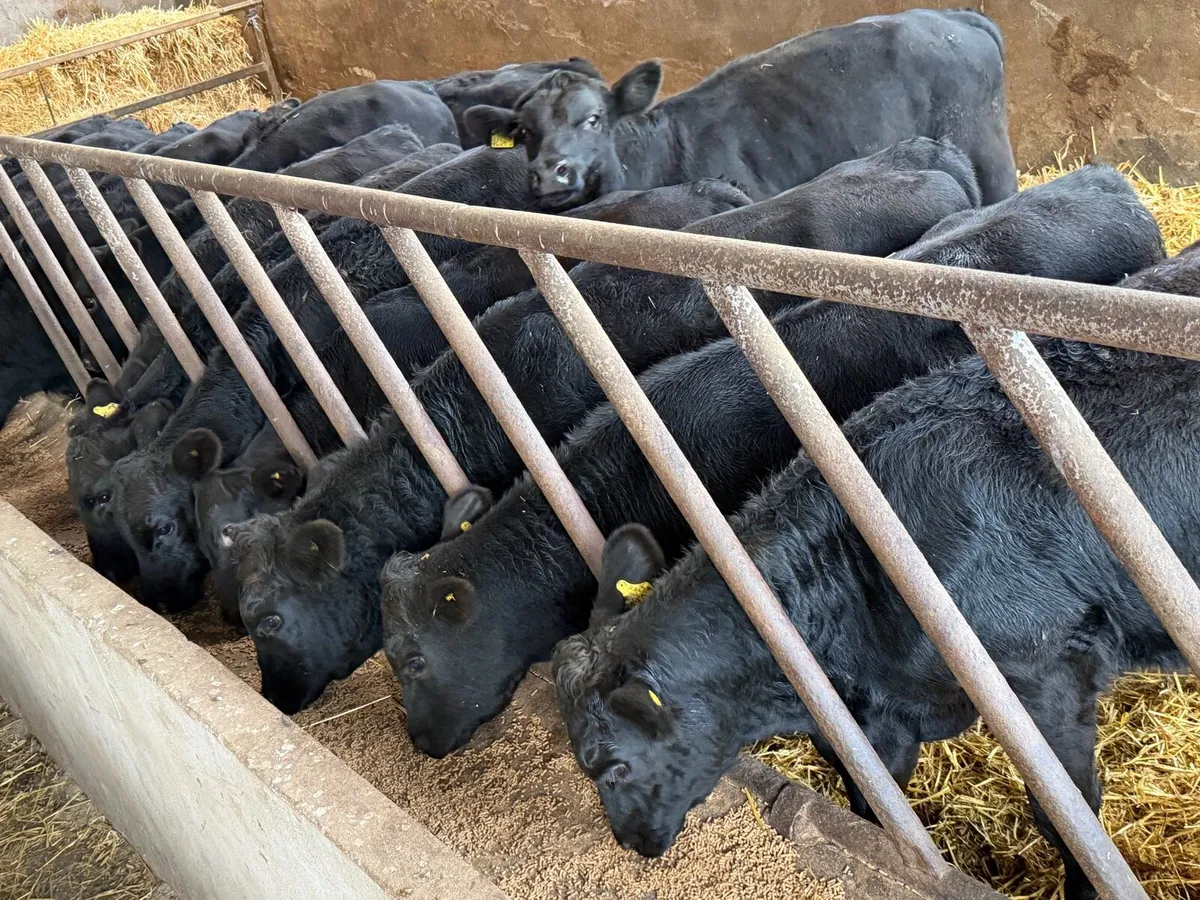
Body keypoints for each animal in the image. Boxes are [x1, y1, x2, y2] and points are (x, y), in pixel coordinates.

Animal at [552, 332, 1196, 900]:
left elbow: (1067, 817)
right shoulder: (883, 720)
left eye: (612, 767)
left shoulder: (1050, 670)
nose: (629, 842)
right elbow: (875, 803)